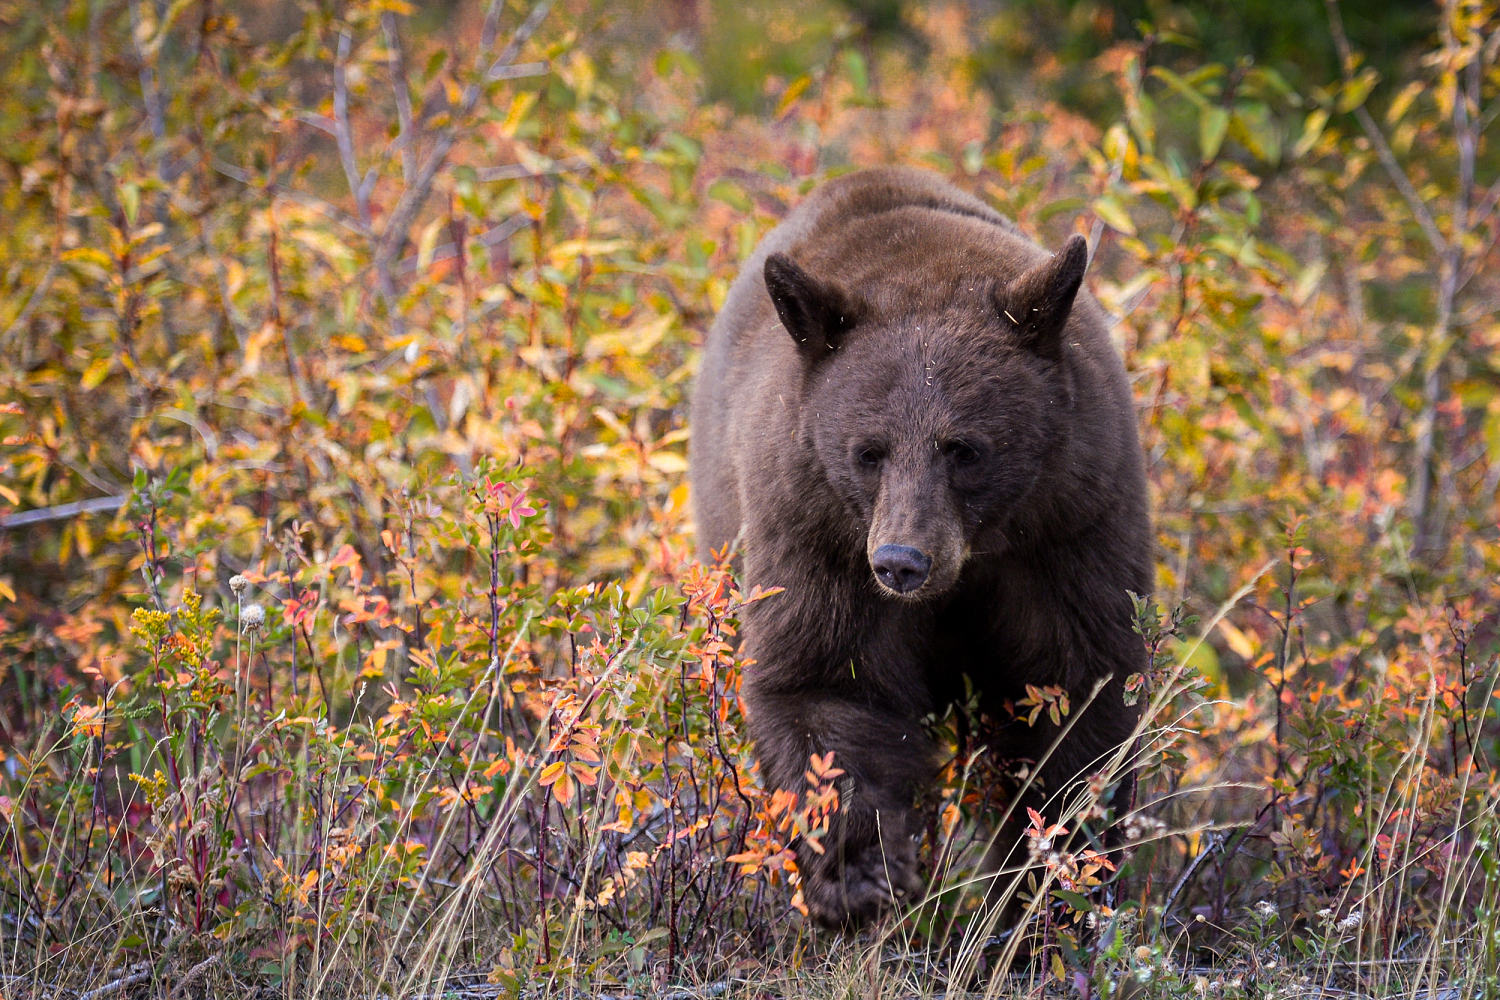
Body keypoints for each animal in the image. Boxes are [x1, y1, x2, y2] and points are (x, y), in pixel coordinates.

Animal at [688, 166, 1152, 927]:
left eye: (963, 448)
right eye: (868, 452)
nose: (902, 563)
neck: (971, 563)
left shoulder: (1072, 523)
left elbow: (1075, 692)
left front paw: (1048, 888)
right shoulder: (816, 530)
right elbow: (827, 683)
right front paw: (861, 877)